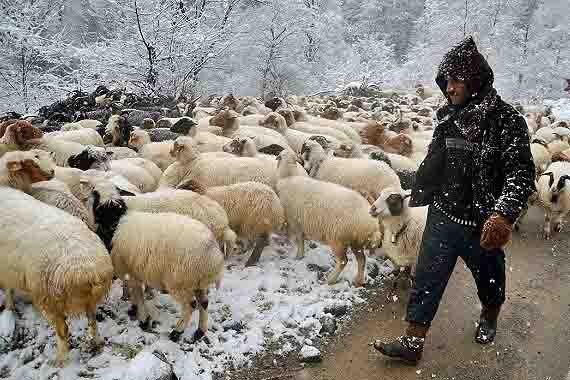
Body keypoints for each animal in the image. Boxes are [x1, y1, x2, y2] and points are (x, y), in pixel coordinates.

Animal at [0, 186, 113, 366]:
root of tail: (86, 269)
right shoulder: (7, 269)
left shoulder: (5, 269)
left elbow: (8, 289)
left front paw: (9, 307)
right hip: (85, 299)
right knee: (92, 319)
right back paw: (96, 342)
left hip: (48, 296)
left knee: (63, 330)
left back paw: (60, 361)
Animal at [85, 180, 223, 342]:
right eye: (96, 196)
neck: (117, 222)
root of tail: (212, 252)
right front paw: (134, 308)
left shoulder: (131, 268)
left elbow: (138, 294)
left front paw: (143, 318)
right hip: (196, 280)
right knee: (204, 302)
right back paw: (200, 331)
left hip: (178, 281)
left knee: (190, 304)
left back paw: (177, 332)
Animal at [272, 150, 380, 286]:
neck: (288, 177)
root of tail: (372, 224)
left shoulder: (295, 221)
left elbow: (300, 240)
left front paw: (298, 256)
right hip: (356, 241)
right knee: (362, 260)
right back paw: (358, 280)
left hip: (338, 238)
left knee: (343, 261)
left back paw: (330, 279)